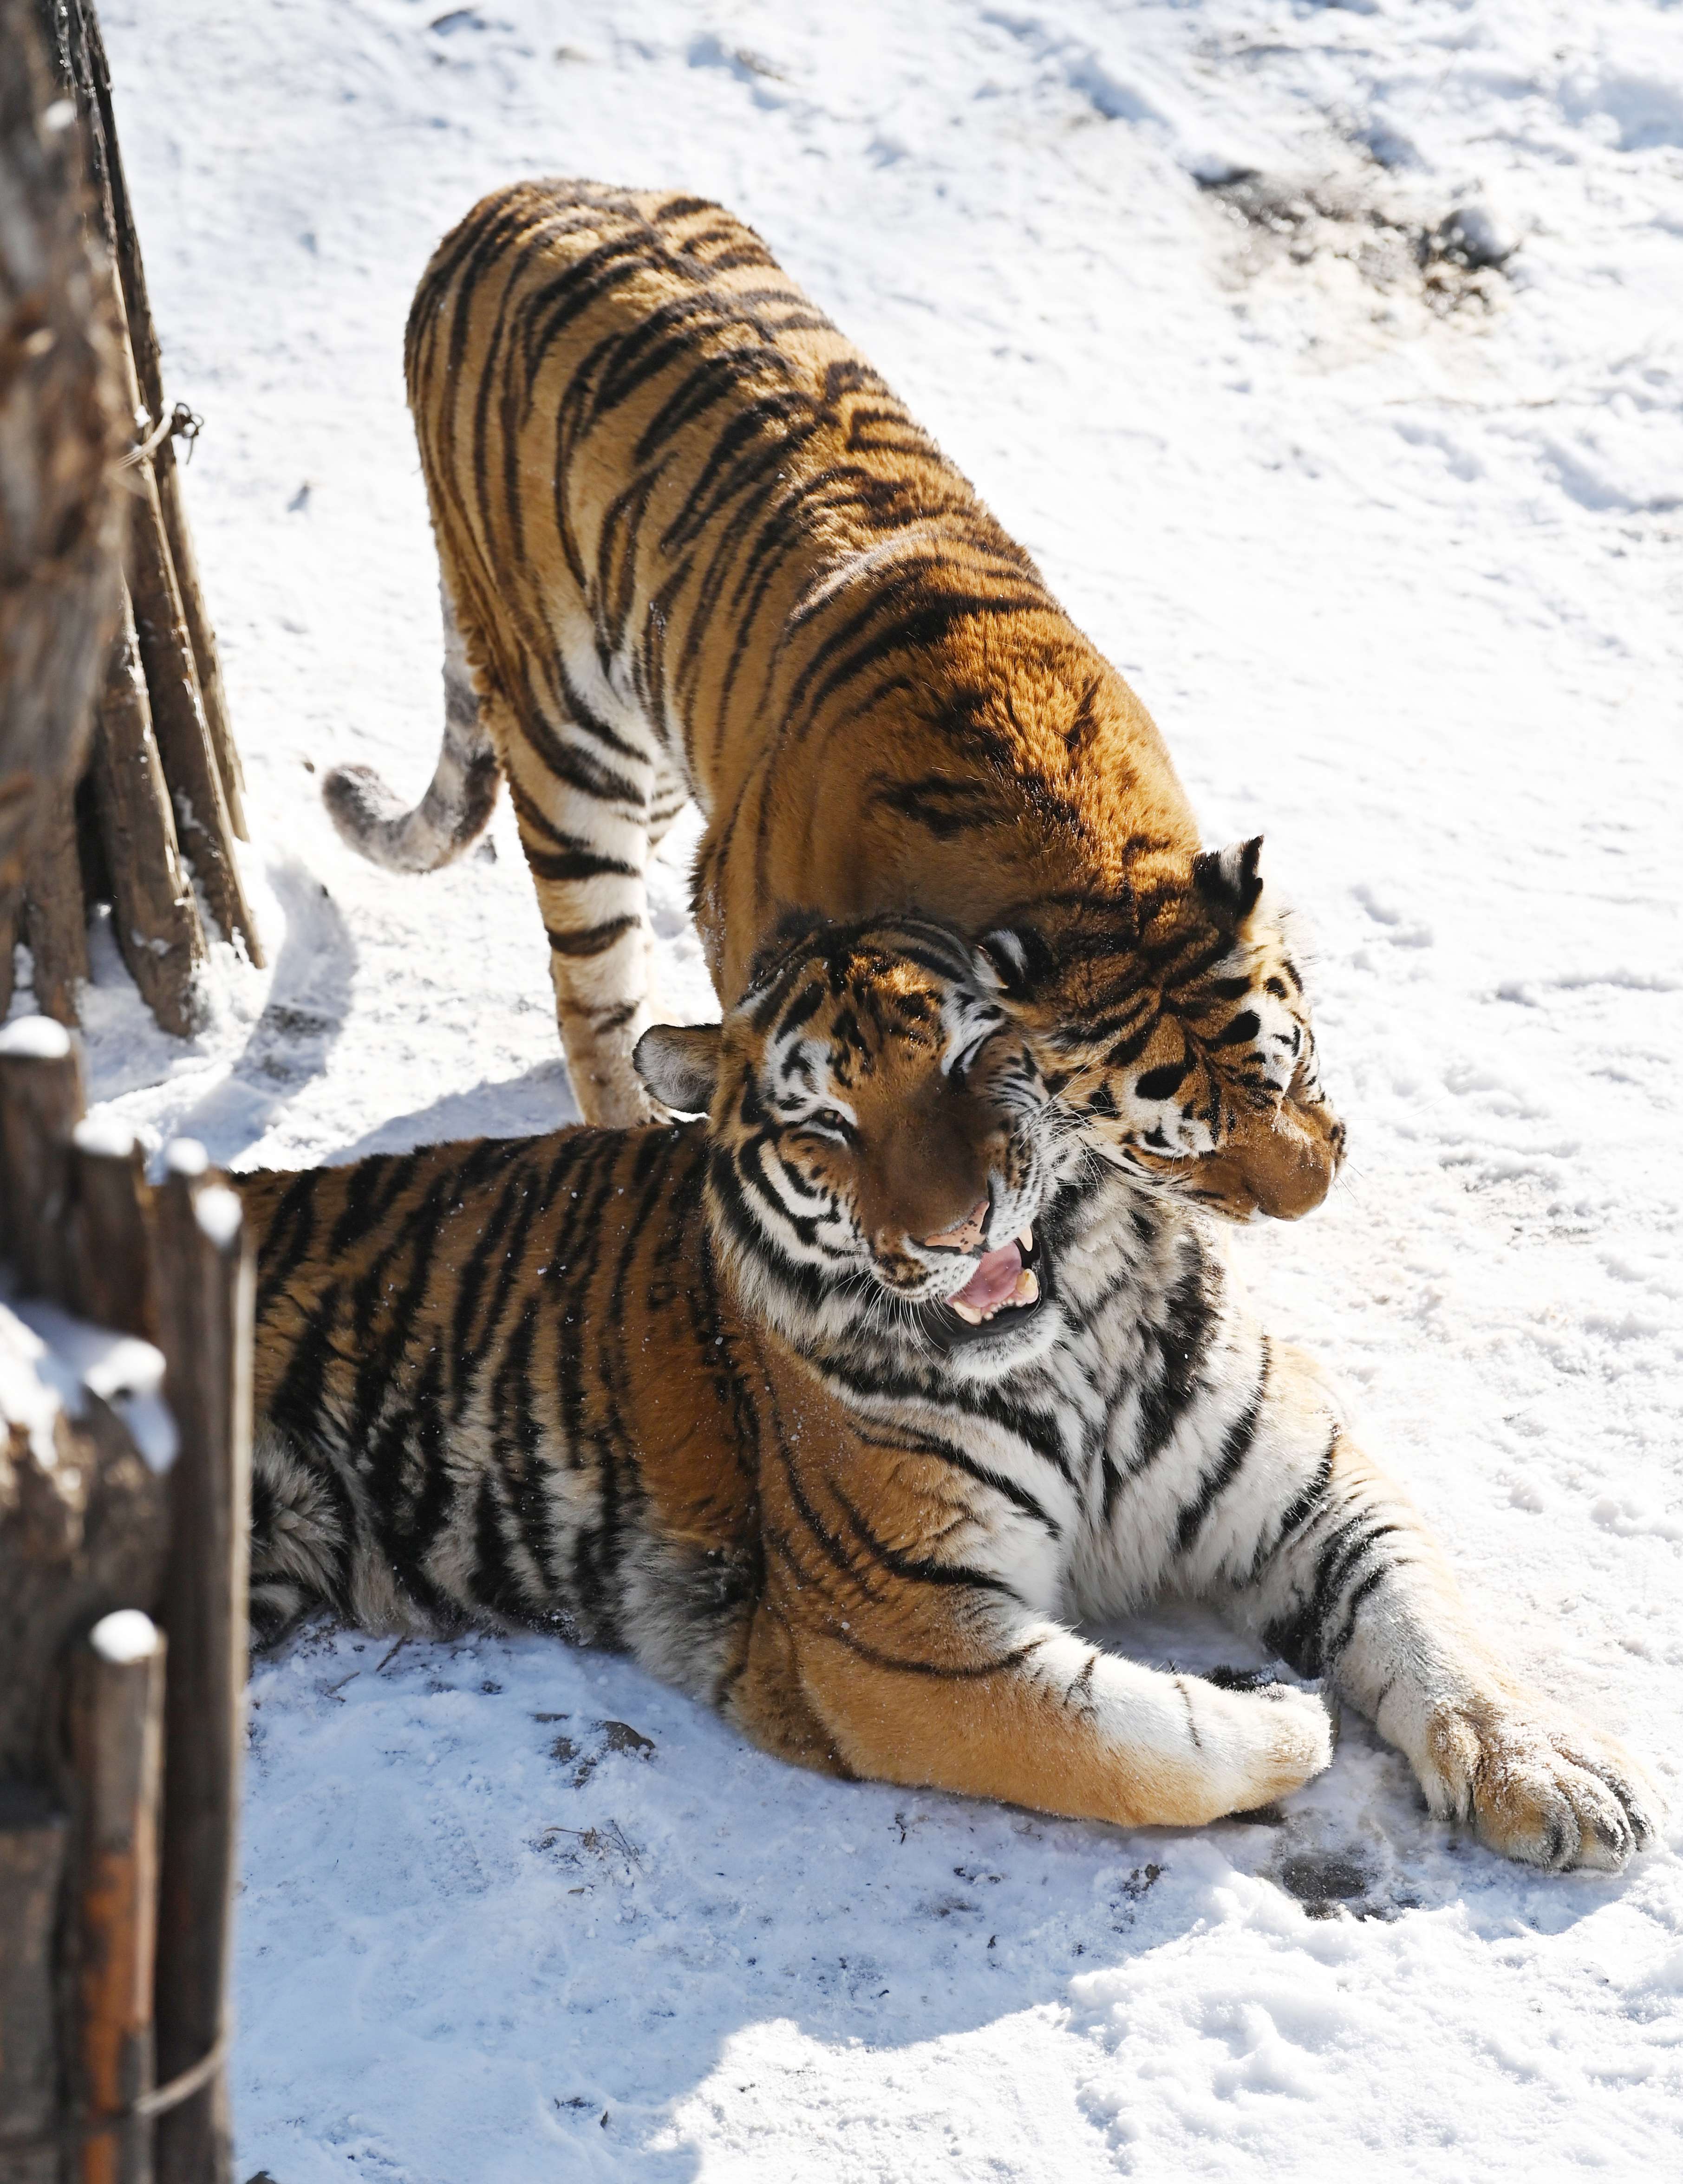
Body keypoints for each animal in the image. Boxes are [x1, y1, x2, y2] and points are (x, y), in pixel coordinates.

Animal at [239, 913, 1652, 1869]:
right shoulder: (896, 1632)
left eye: (978, 1061)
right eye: (824, 1126)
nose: (955, 1228)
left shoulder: (1309, 1488)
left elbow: (1426, 1621)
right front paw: (1283, 1720)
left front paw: (1551, 1777)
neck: (1071, 1349)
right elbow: (1117, 1737)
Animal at [323, 177, 1337, 1223]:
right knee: (588, 984)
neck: (1081, 864)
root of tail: (505, 197)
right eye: (1168, 1144)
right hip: (570, 737)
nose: (1314, 1197)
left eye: (1292, 1066)